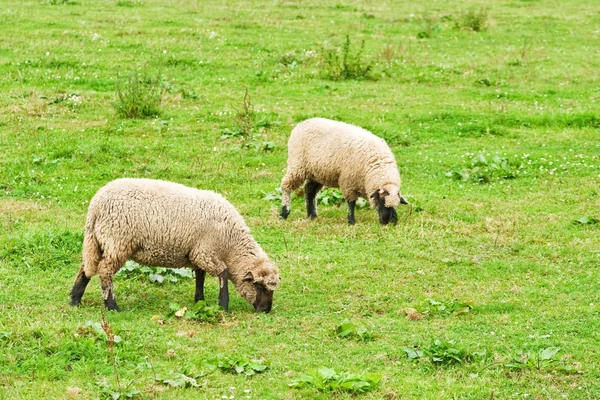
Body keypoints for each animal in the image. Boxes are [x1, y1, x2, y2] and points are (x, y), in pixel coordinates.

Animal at [70, 178, 282, 312]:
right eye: (260, 287)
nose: (266, 310)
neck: (231, 244)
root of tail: (96, 205)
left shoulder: (197, 253)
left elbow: (200, 277)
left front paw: (200, 300)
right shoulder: (206, 252)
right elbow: (223, 274)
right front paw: (223, 305)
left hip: (99, 241)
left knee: (87, 267)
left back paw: (75, 300)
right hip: (118, 241)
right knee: (104, 270)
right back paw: (112, 306)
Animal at [280, 119, 408, 225]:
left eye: (396, 205)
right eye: (381, 200)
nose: (388, 222)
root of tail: (301, 124)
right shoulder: (348, 183)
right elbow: (351, 203)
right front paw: (351, 221)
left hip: (316, 172)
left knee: (309, 191)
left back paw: (312, 215)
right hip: (297, 165)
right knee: (286, 185)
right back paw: (284, 213)